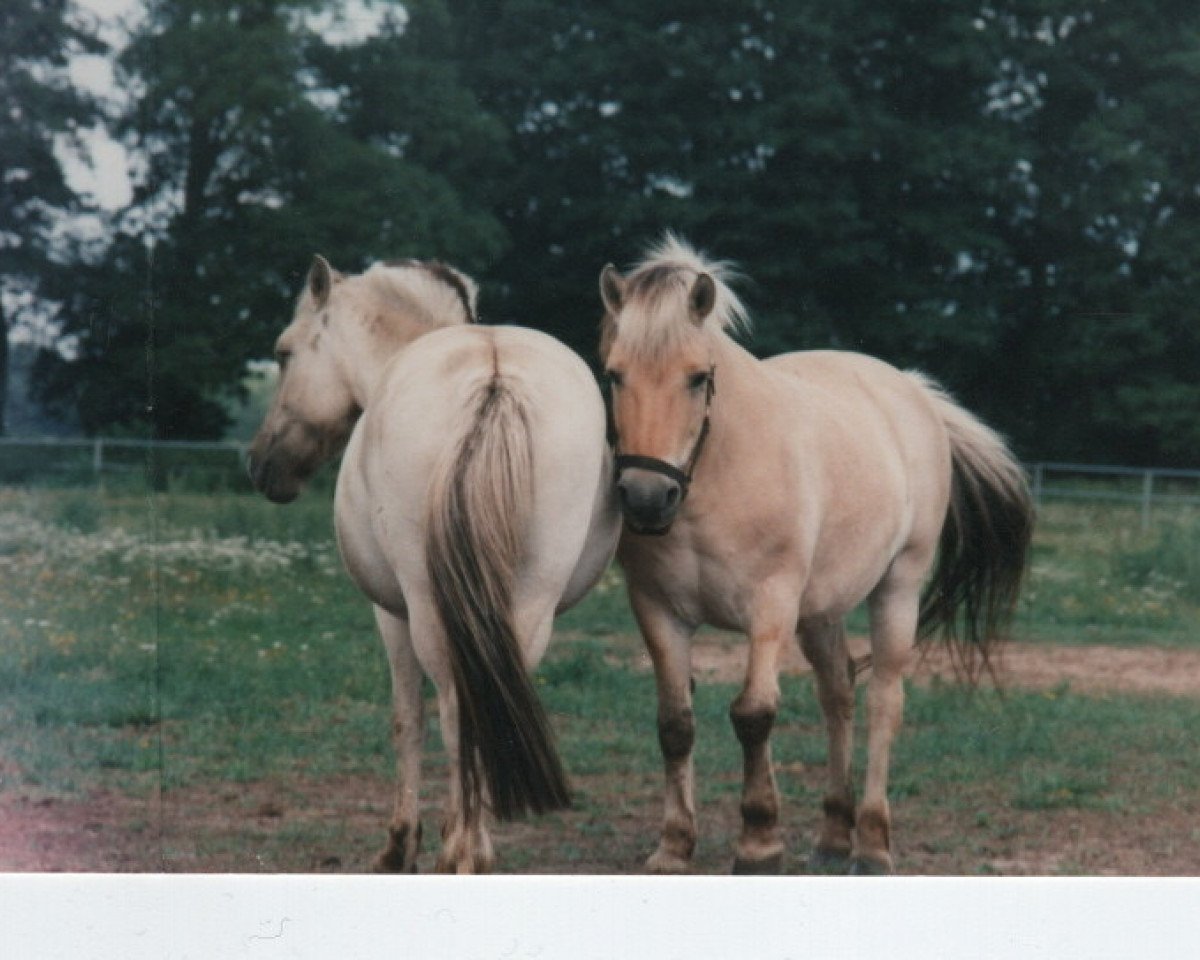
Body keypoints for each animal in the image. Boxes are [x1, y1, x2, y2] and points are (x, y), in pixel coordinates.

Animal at [247, 255, 620, 873]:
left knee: (456, 711)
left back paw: (459, 852)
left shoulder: (392, 614)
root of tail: (495, 378)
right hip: (528, 604)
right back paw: (475, 849)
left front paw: (400, 845)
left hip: (426, 606)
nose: (260, 465)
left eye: (284, 352)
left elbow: (408, 720)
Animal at [597, 235, 1033, 875]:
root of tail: (911, 391)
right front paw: (674, 845)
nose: (648, 499)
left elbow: (754, 714)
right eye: (613, 375)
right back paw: (833, 833)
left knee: (883, 702)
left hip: (897, 588)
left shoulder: (771, 606)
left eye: (698, 378)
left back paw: (872, 842)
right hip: (822, 610)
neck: (721, 470)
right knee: (838, 695)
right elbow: (675, 724)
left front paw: (759, 843)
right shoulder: (656, 609)